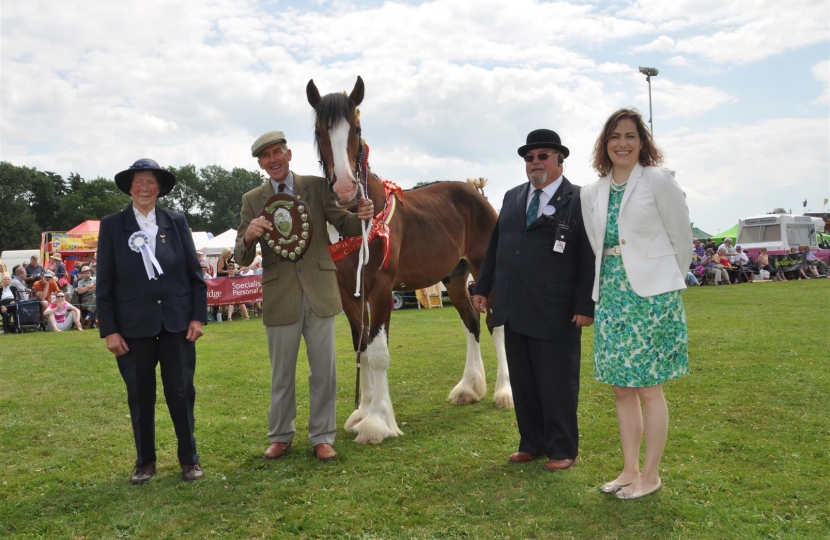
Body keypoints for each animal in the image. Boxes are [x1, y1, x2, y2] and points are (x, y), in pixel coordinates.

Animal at [308, 77, 512, 448]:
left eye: (356, 129)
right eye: (319, 131)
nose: (344, 190)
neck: (357, 218)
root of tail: (477, 193)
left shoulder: (380, 288)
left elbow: (377, 353)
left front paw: (376, 422)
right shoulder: (348, 293)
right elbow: (361, 347)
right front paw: (361, 413)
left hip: (483, 270)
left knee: (495, 324)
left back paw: (504, 393)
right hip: (455, 277)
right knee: (471, 322)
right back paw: (468, 388)